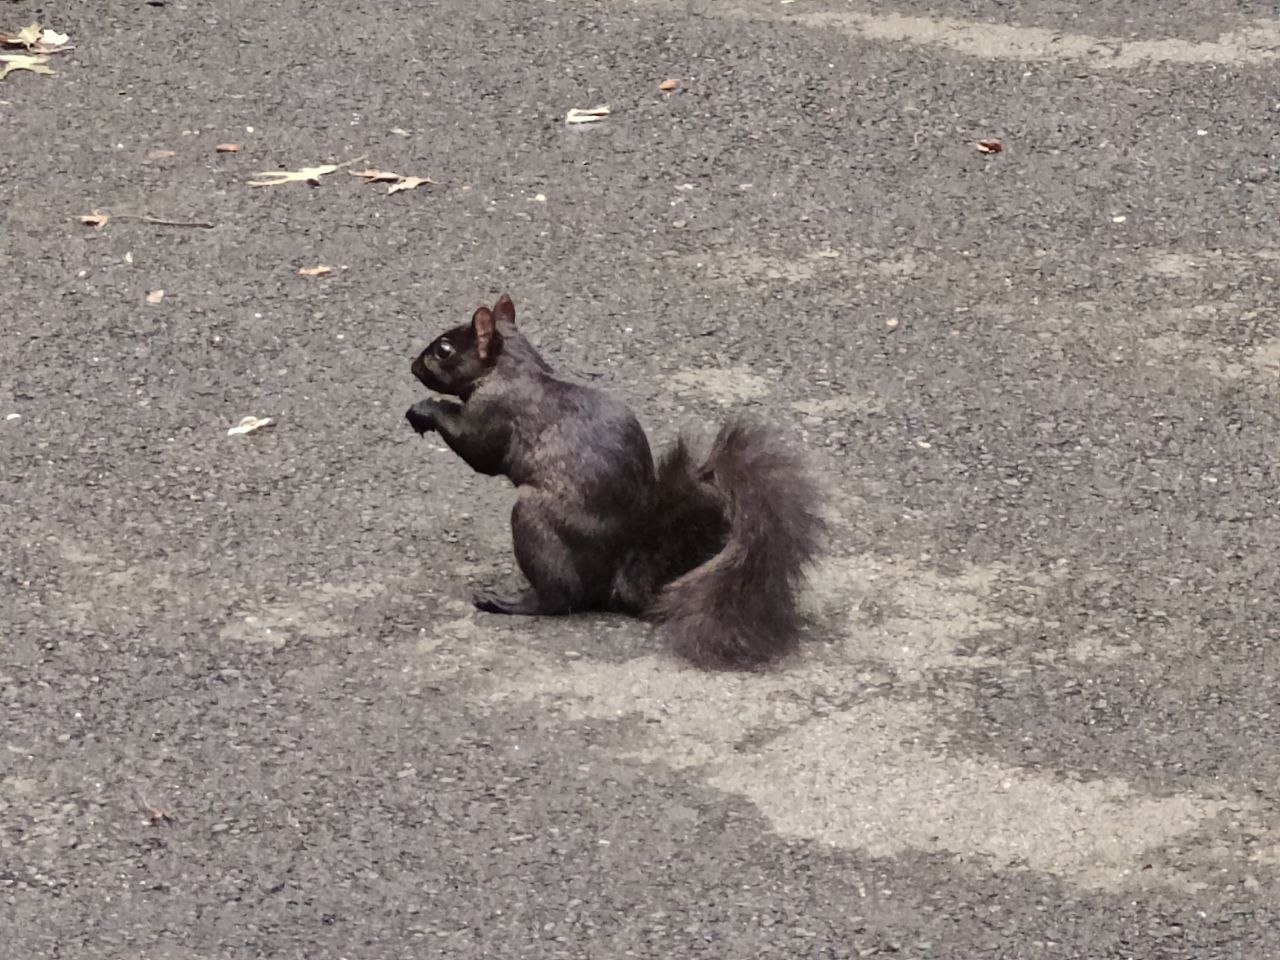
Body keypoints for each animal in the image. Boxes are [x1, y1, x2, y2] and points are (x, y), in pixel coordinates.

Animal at [404, 293, 825, 670]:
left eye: (444, 350)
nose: (412, 365)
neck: (512, 367)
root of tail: (621, 577)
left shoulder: (496, 413)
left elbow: (478, 448)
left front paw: (426, 409)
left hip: (535, 519)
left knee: (562, 597)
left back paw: (510, 603)